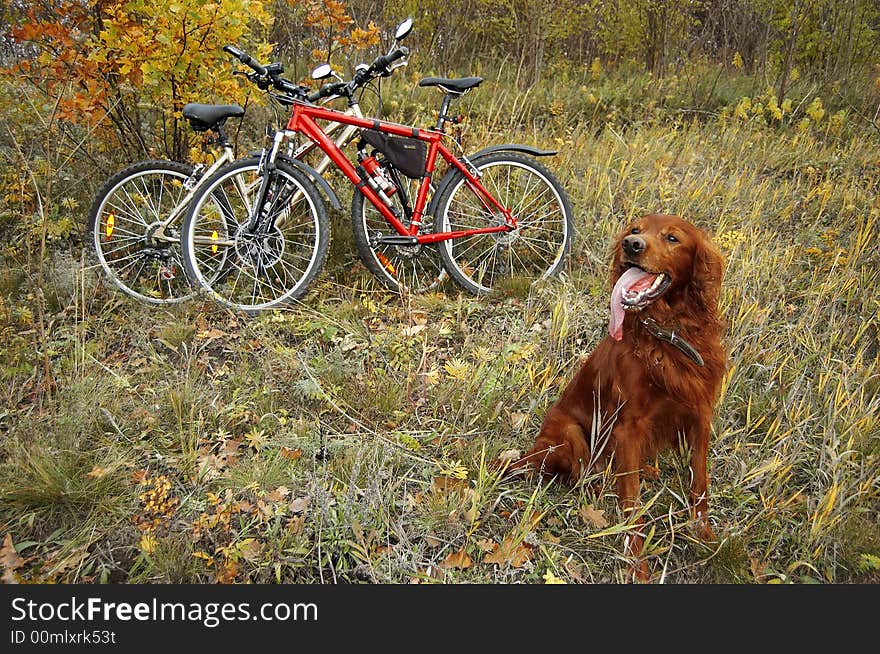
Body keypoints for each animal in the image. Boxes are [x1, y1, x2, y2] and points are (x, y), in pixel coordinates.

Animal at [512, 215, 724, 584]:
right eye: (635, 231)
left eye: (672, 238)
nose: (631, 246)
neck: (667, 335)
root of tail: (532, 452)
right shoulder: (630, 426)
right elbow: (632, 505)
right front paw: (636, 566)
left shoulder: (699, 415)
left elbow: (700, 481)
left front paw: (703, 533)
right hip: (570, 437)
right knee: (583, 477)